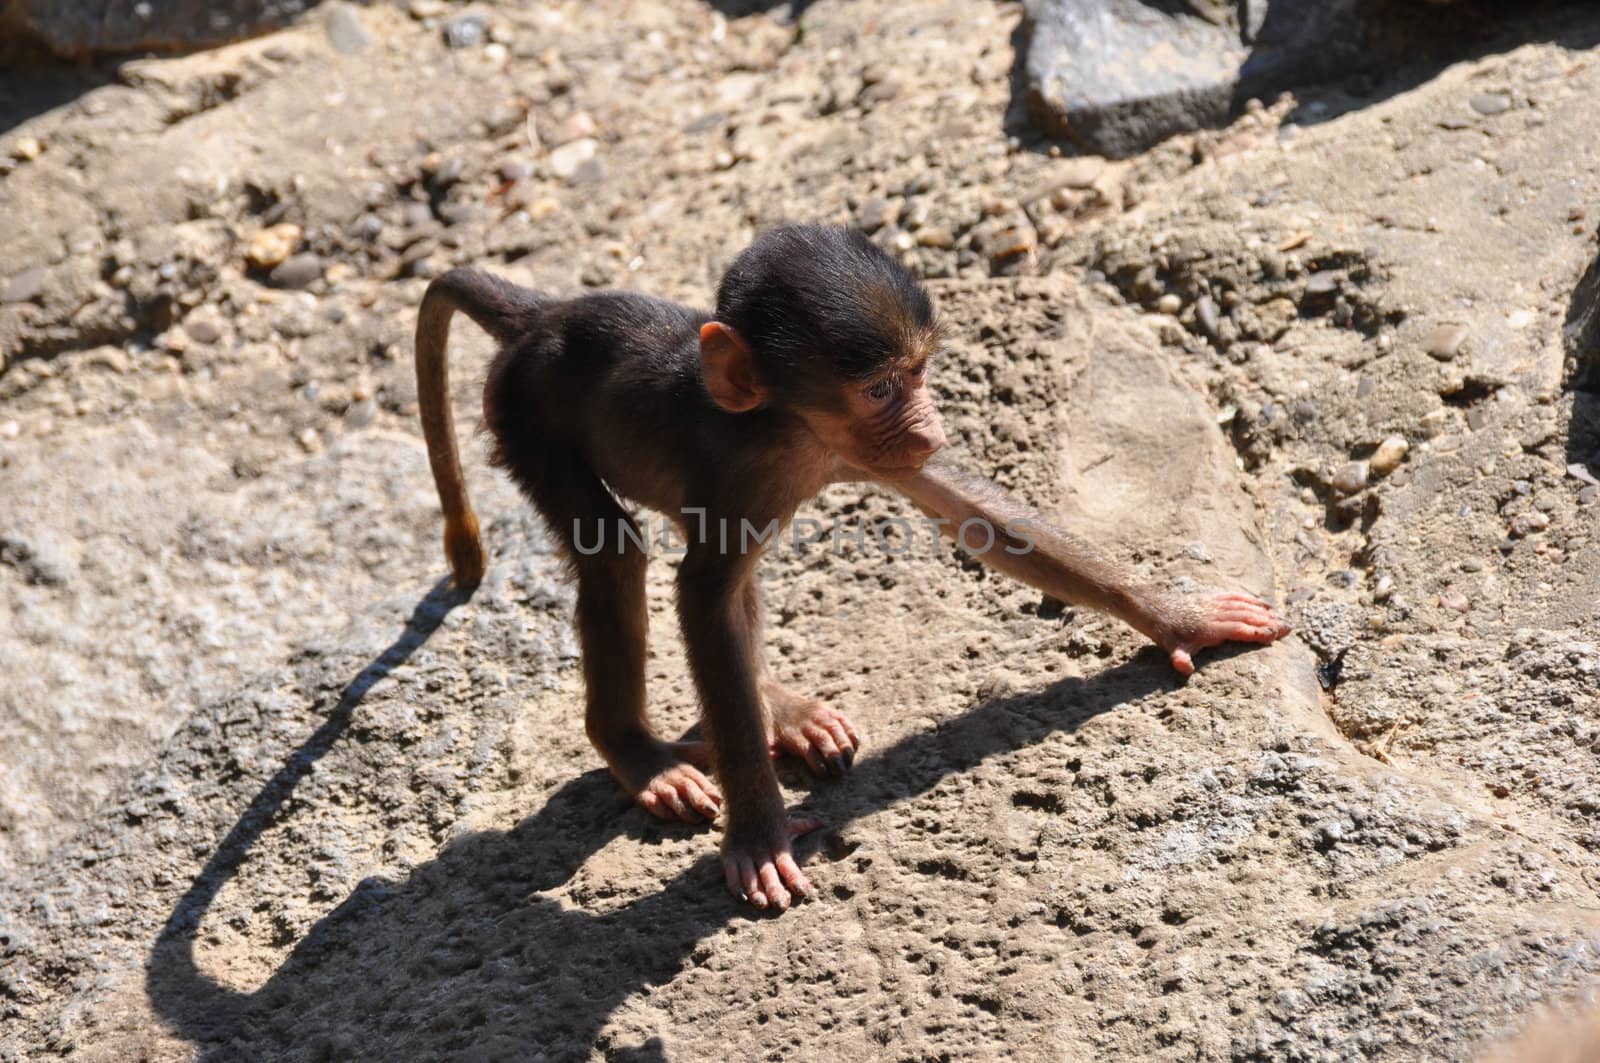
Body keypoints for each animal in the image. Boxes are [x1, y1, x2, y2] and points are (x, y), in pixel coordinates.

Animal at [412, 222, 1286, 902]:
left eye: (920, 374)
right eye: (878, 387)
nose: (933, 424)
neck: (787, 426)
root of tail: (544, 315)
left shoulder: (868, 453)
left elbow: (977, 516)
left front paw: (1180, 616)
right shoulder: (753, 469)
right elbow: (701, 596)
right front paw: (759, 832)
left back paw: (778, 708)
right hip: (521, 411)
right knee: (620, 553)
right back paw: (636, 749)